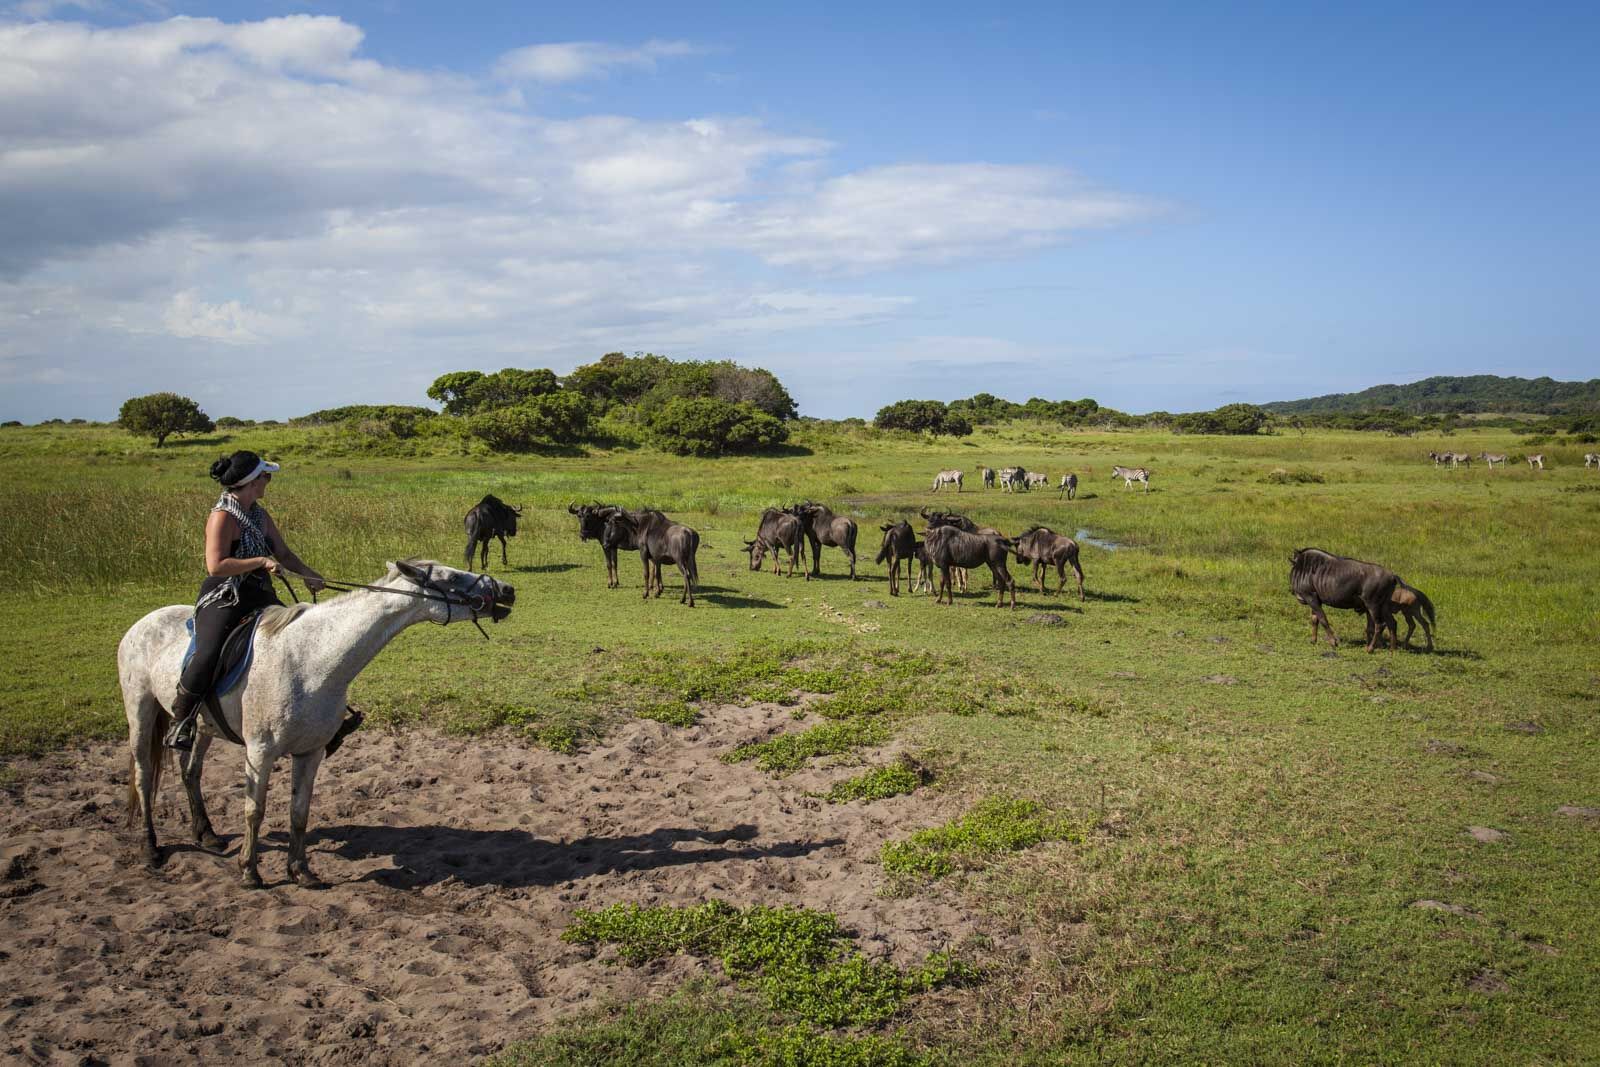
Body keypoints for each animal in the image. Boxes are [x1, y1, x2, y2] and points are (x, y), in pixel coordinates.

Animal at [119, 556, 512, 889]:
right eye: (451, 577)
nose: (507, 590)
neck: (310, 660)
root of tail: (142, 623)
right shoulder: (260, 752)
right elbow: (254, 811)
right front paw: (250, 872)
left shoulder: (310, 752)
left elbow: (299, 812)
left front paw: (301, 870)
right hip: (140, 711)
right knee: (143, 775)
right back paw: (150, 847)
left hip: (202, 726)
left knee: (191, 772)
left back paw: (207, 834)